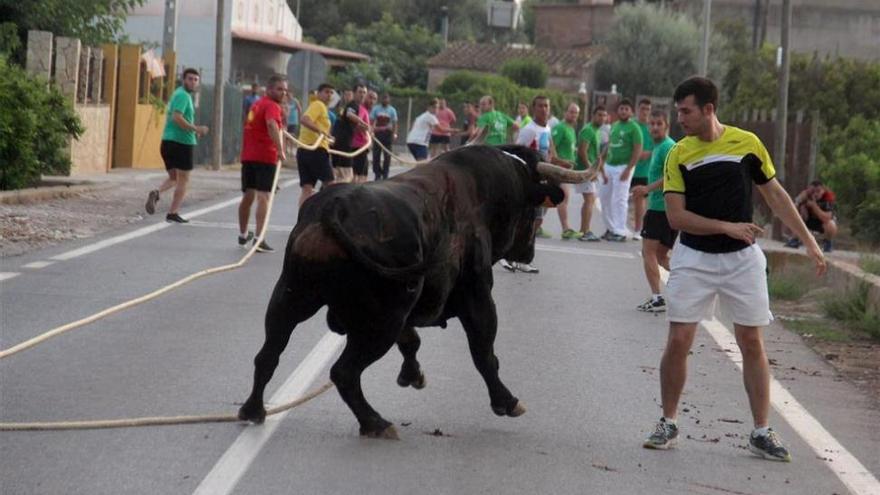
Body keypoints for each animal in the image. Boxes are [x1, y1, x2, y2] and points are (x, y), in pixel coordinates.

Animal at [237, 143, 592, 438]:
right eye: (533, 210)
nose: (528, 253)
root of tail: (332, 209)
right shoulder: (477, 297)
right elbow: (484, 354)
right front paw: (506, 401)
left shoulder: (409, 310)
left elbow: (411, 342)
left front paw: (412, 374)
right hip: (379, 322)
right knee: (344, 372)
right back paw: (376, 423)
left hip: (290, 298)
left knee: (268, 355)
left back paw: (253, 410)